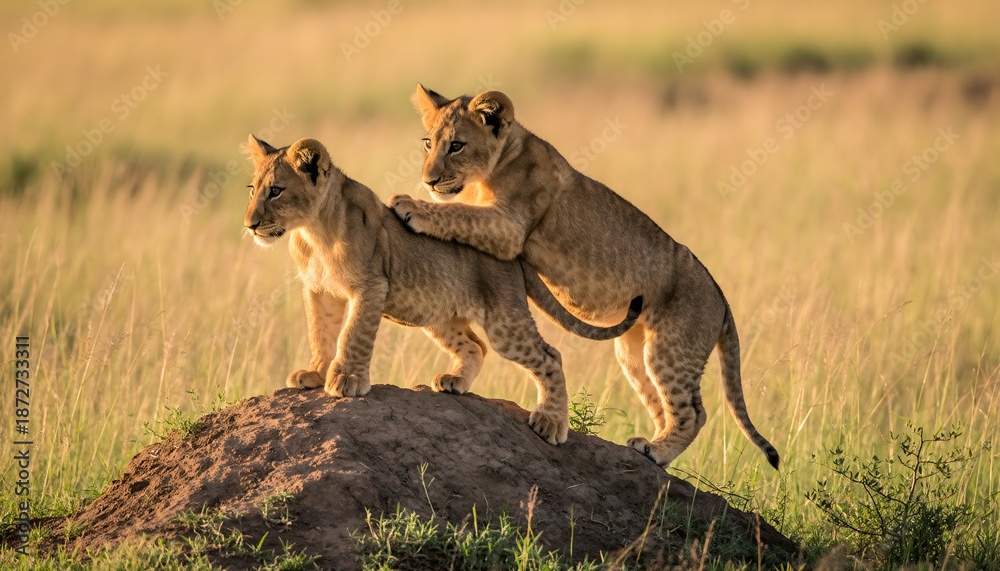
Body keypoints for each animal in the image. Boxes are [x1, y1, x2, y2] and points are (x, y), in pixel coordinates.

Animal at [243, 135, 642, 445]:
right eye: (252, 189)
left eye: (275, 191)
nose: (249, 224)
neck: (312, 231)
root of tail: (513, 254)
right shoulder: (318, 291)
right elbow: (321, 333)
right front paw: (315, 373)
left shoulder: (370, 285)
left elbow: (353, 335)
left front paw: (347, 380)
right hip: (439, 317)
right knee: (476, 346)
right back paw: (455, 382)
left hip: (505, 320)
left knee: (549, 356)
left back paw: (551, 422)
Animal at [389, 86, 779, 468]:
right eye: (428, 143)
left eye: (456, 145)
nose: (428, 180)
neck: (500, 160)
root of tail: (722, 298)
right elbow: (458, 212)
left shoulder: (509, 227)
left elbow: (456, 212)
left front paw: (409, 206)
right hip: (634, 353)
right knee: (662, 403)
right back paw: (648, 448)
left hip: (671, 349)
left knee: (695, 413)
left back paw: (659, 451)